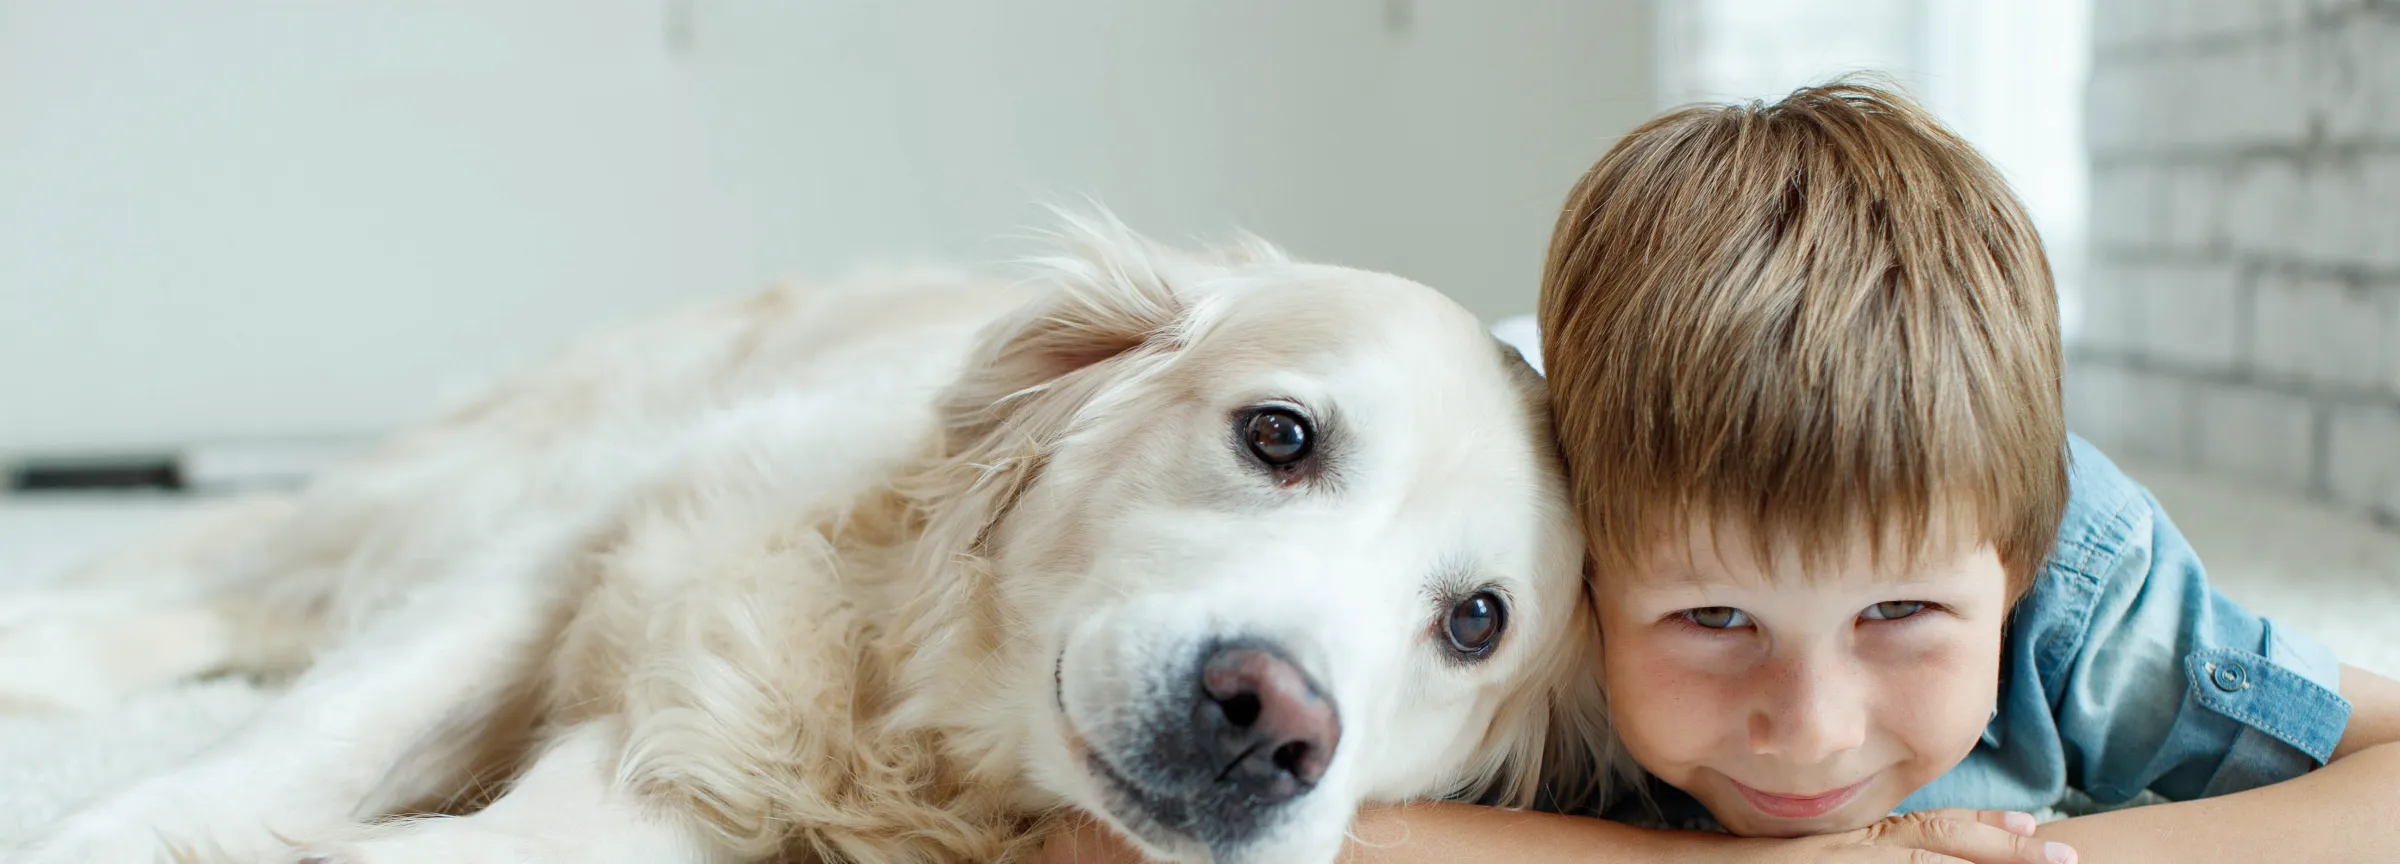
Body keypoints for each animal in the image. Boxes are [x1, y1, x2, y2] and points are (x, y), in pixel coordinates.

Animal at [4, 211, 1612, 864]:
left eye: (1476, 623)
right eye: (1278, 435)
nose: (1272, 721)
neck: (909, 700)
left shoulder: (697, 775)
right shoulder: (562, 556)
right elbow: (296, 747)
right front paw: (101, 835)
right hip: (476, 477)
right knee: (231, 577)